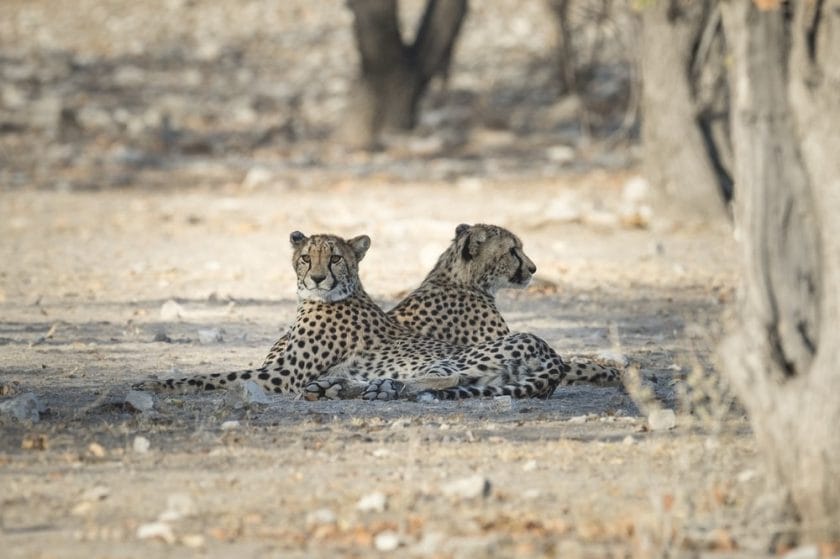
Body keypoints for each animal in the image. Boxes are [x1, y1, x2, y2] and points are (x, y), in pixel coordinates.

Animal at [136, 232, 624, 402]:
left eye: (335, 257)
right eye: (306, 257)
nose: (316, 277)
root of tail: (549, 355)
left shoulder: (279, 376)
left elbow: (212, 375)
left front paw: (152, 384)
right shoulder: (278, 373)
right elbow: (214, 373)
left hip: (463, 357)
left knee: (444, 379)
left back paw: (371, 388)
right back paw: (346, 388)